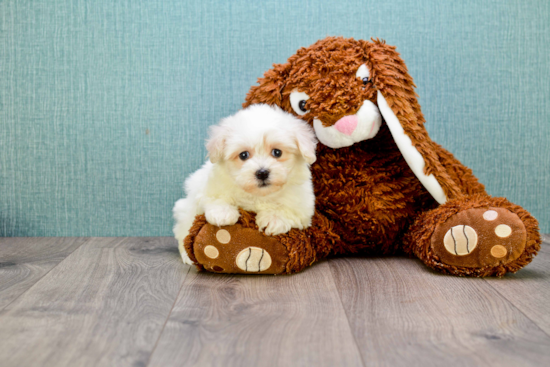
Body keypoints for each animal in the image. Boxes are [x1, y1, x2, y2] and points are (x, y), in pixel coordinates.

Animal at [172, 103, 320, 264]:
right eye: (243, 155)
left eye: (277, 152)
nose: (262, 172)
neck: (258, 195)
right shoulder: (208, 188)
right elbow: (214, 198)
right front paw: (222, 213)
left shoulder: (303, 207)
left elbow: (289, 210)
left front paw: (274, 219)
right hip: (185, 211)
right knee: (183, 233)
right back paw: (188, 257)